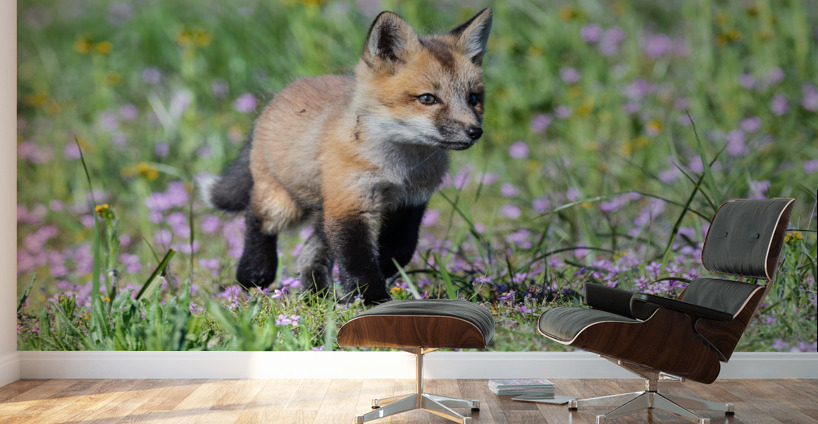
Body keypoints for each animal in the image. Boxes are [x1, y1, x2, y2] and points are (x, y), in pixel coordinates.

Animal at [199, 9, 493, 304]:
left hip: (323, 210)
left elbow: (400, 248)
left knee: (309, 253)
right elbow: (358, 259)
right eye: (427, 98)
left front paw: (381, 270)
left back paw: (317, 297)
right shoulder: (349, 203)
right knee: (256, 216)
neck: (397, 168)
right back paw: (255, 272)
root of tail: (281, 94)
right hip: (285, 205)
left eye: (473, 98)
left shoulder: (411, 201)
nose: (475, 132)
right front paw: (373, 299)